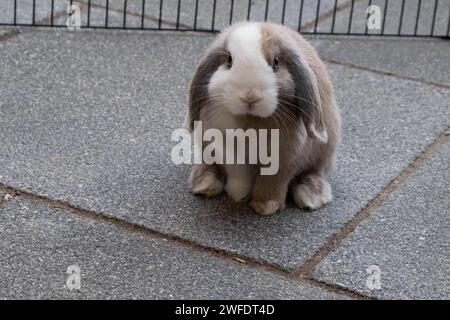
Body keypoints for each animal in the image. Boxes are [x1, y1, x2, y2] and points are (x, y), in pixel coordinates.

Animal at [185, 21, 340, 215]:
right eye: (229, 60)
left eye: (275, 62)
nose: (250, 97)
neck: (250, 120)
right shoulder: (228, 152)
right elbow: (239, 176)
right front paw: (237, 195)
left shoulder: (285, 157)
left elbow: (273, 180)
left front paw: (266, 206)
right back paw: (204, 182)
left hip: (324, 150)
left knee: (313, 171)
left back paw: (312, 194)